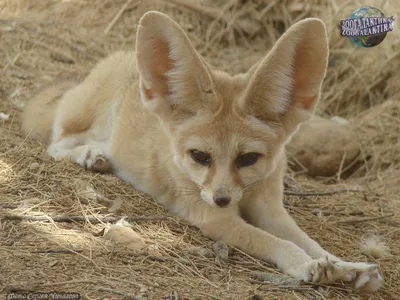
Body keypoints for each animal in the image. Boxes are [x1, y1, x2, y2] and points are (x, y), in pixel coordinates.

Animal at [21, 11, 382, 290]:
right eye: (200, 157)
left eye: (248, 159)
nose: (221, 198)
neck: (244, 196)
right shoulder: (214, 218)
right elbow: (276, 242)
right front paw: (305, 265)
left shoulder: (270, 210)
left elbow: (310, 242)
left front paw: (346, 267)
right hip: (83, 117)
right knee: (57, 143)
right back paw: (88, 156)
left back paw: (101, 155)